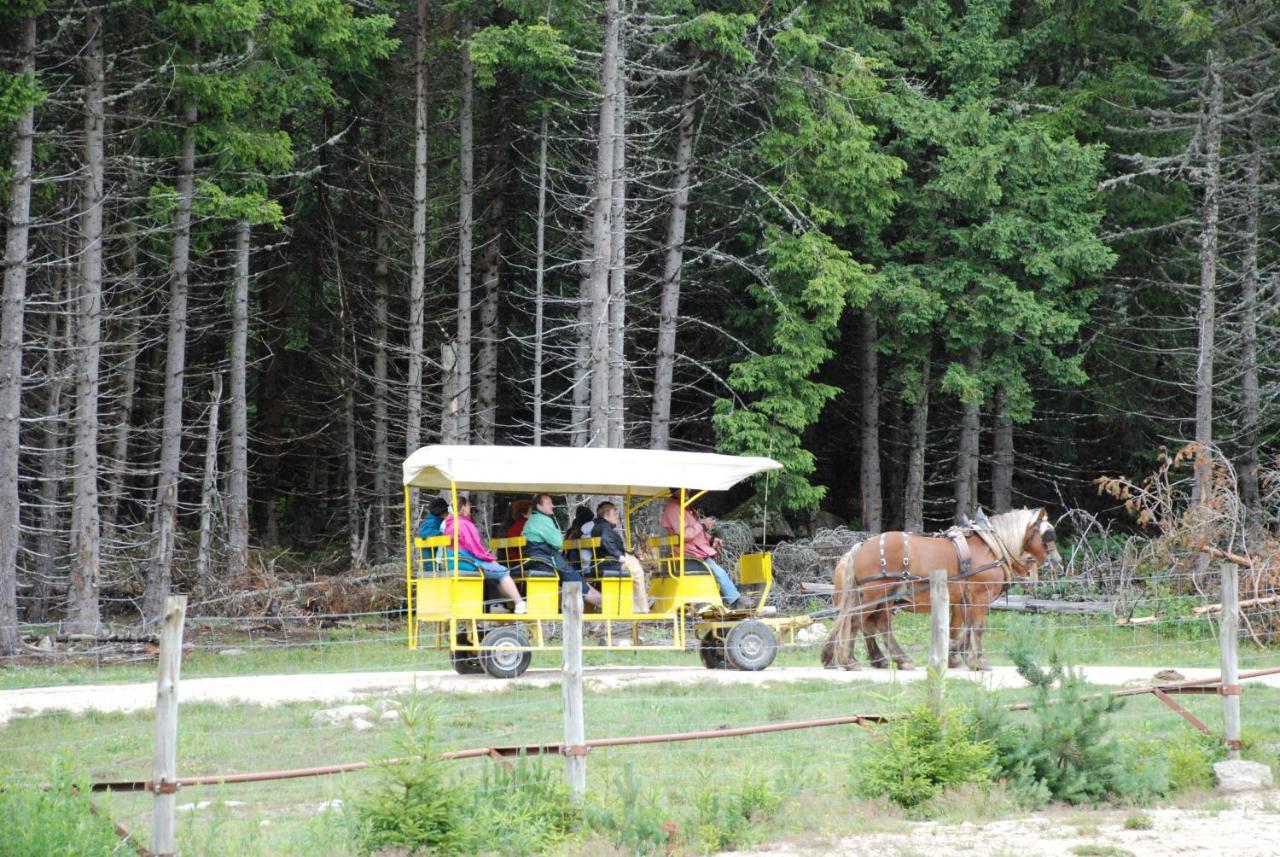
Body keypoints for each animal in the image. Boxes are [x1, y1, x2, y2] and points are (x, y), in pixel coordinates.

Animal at [819, 506, 1059, 675]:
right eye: (1048, 534)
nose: (1057, 560)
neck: (992, 546)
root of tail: (860, 546)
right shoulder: (980, 596)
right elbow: (977, 628)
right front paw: (978, 661)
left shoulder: (960, 600)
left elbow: (959, 629)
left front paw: (955, 658)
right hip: (875, 592)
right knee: (858, 621)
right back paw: (852, 661)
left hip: (882, 595)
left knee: (873, 624)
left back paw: (889, 660)